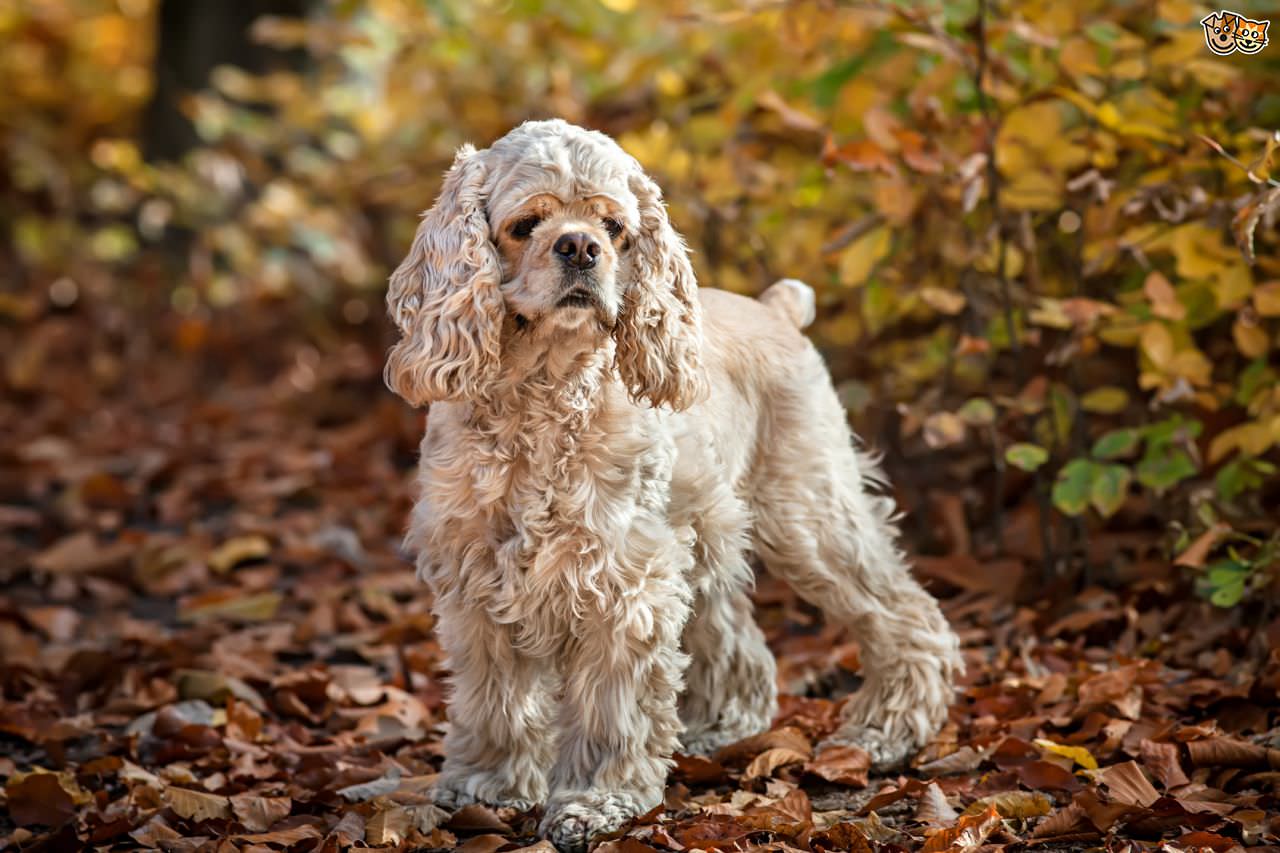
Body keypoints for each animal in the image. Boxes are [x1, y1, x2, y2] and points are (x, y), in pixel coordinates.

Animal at [386, 119, 962, 850]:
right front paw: (487, 785)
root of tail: (777, 309)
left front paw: (595, 801)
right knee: (741, 642)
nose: (580, 247)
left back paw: (885, 731)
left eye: (613, 225)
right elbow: (495, 698)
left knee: (904, 613)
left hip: (808, 515)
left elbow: (614, 707)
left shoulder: (622, 578)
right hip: (706, 535)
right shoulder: (476, 576)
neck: (545, 388)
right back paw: (719, 730)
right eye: (525, 225)